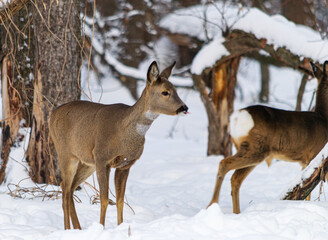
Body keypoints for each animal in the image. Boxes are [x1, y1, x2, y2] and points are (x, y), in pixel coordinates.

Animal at [48, 60, 187, 229]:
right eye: (165, 92)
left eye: (176, 90)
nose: (184, 108)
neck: (124, 133)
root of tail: (52, 114)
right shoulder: (103, 158)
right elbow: (105, 199)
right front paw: (101, 227)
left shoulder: (125, 165)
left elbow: (120, 200)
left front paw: (121, 226)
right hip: (66, 153)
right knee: (66, 188)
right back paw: (68, 229)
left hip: (87, 162)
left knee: (69, 188)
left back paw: (78, 228)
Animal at [209, 60, 328, 214]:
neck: (324, 116)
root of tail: (237, 117)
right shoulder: (317, 154)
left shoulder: (305, 161)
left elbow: (306, 186)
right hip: (256, 148)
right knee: (224, 164)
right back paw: (212, 204)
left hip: (249, 150)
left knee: (236, 178)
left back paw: (236, 212)